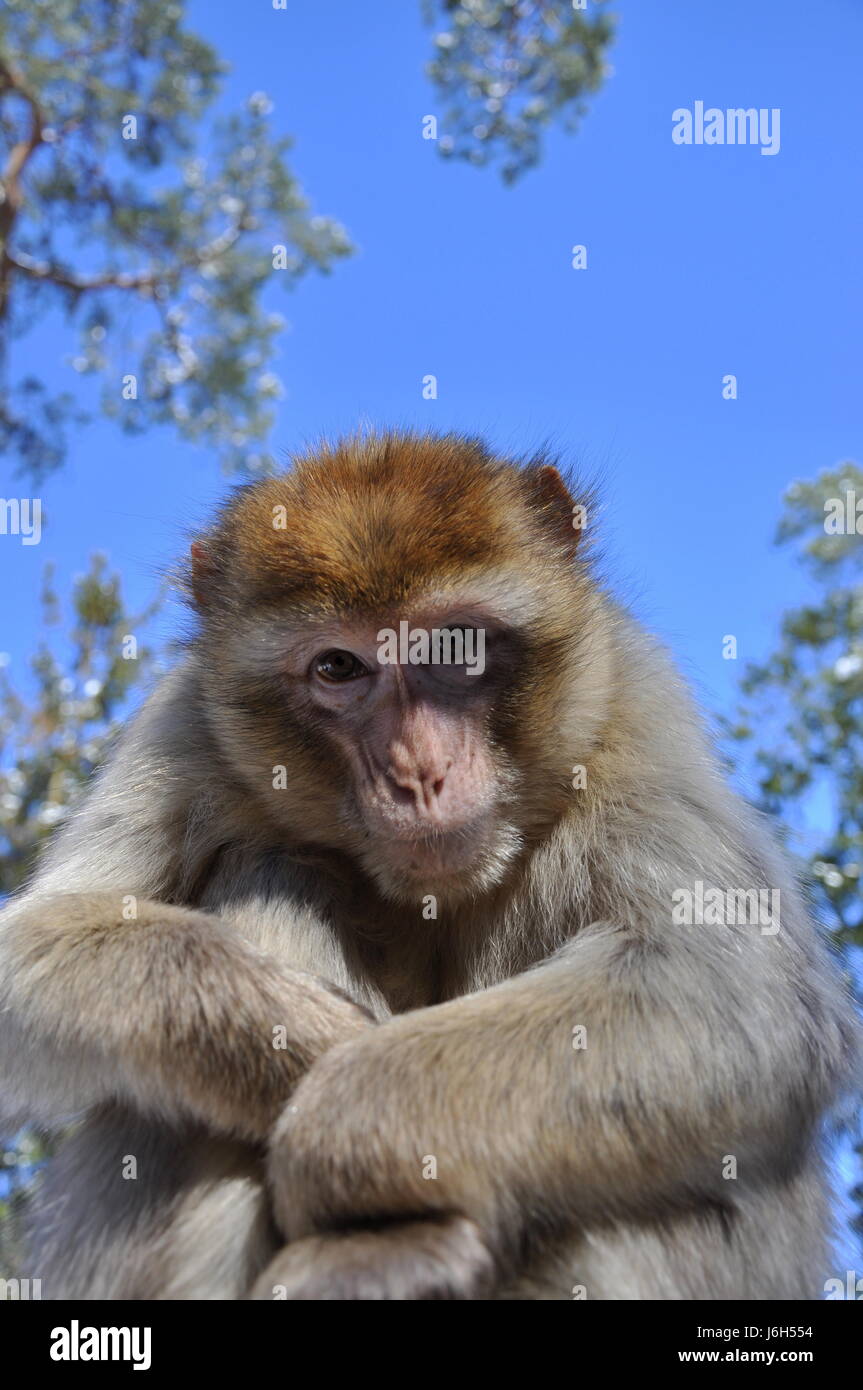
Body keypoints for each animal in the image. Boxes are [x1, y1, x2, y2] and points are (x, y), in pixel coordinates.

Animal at [0, 428, 850, 1295]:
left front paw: (334, 1114)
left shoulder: (632, 711)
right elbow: (28, 949)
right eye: (338, 667)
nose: (418, 772)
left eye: (455, 646)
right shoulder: (183, 730)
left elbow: (730, 993)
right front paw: (307, 1042)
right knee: (271, 873)